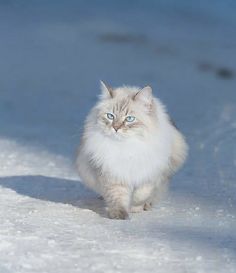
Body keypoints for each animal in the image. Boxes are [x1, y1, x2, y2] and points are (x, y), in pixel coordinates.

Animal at [76, 81, 188, 219]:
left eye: (129, 119)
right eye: (110, 116)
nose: (116, 128)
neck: (127, 147)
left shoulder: (150, 173)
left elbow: (141, 194)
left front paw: (134, 207)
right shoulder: (113, 173)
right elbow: (118, 197)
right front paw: (119, 214)